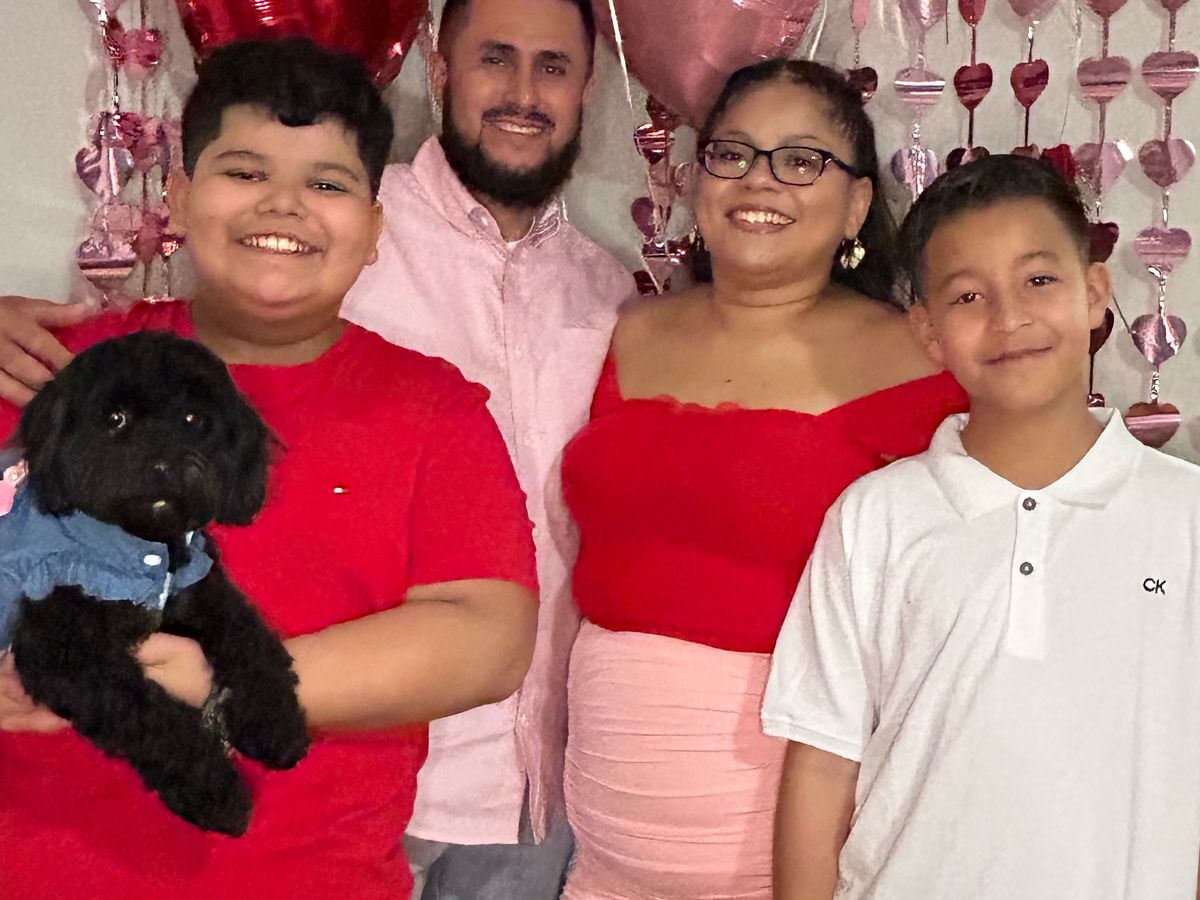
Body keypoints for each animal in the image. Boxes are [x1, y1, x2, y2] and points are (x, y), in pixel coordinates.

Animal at [0, 331, 309, 836]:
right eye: (115, 419)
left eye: (192, 419)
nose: (163, 462)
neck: (142, 543)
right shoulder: (67, 653)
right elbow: (150, 715)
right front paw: (215, 790)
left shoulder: (197, 587)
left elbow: (250, 637)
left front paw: (274, 721)